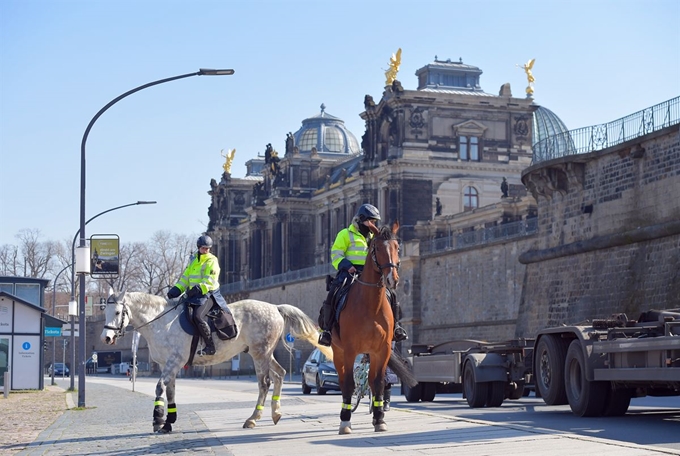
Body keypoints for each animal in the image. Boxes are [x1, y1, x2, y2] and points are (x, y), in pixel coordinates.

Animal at [101, 290, 332, 432]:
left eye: (118, 312)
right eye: (104, 312)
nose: (106, 337)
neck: (162, 323)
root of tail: (275, 307)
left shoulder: (174, 362)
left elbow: (159, 388)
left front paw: (158, 420)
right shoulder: (170, 366)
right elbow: (171, 391)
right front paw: (168, 423)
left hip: (260, 354)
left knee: (265, 383)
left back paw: (253, 418)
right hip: (265, 354)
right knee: (280, 375)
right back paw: (275, 413)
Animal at [328, 221, 414, 434]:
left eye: (397, 247)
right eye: (377, 248)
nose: (392, 279)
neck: (370, 305)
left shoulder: (382, 350)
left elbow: (378, 383)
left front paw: (379, 418)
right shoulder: (350, 351)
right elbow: (349, 384)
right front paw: (345, 421)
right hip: (337, 351)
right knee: (342, 381)